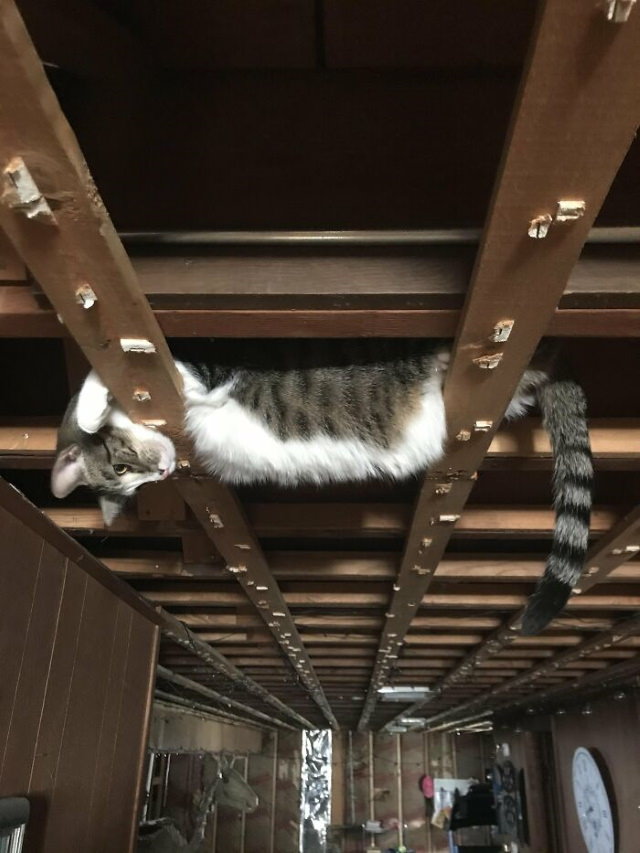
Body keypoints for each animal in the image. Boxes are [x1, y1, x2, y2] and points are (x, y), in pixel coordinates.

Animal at [51, 340, 596, 632]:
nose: (162, 473)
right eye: (133, 487)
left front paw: (92, 409)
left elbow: (94, 382)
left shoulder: (201, 373)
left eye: (123, 470)